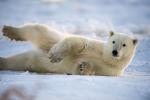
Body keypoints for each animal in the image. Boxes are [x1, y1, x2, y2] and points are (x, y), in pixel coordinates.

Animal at [0, 23, 138, 76]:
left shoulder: (111, 71)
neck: (106, 58)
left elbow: (85, 70)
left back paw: (2, 61)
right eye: (113, 41)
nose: (114, 52)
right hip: (51, 40)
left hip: (32, 62)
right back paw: (10, 31)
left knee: (17, 62)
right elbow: (79, 43)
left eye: (124, 45)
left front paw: (84, 67)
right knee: (39, 31)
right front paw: (55, 56)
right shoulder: (97, 48)